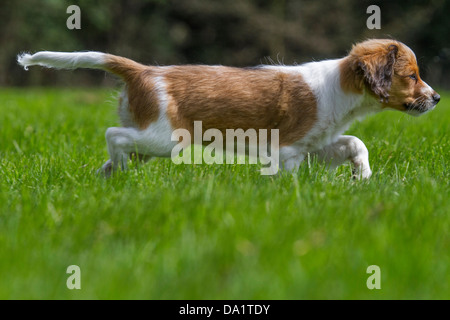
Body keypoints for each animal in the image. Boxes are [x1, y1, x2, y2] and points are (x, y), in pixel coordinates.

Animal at [16, 39, 440, 179]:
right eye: (412, 76)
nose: (437, 98)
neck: (338, 87)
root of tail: (143, 70)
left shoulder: (314, 143)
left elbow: (355, 143)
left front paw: (363, 177)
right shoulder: (288, 149)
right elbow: (287, 177)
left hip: (147, 142)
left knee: (114, 154)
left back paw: (109, 181)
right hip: (165, 138)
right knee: (113, 136)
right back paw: (118, 172)